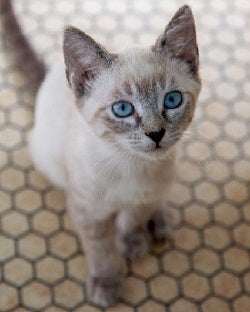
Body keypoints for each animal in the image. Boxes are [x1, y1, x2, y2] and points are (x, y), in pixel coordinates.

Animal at [0, 0, 201, 308]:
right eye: (122, 109)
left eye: (172, 100)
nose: (156, 134)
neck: (133, 167)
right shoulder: (88, 212)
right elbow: (101, 251)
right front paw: (107, 283)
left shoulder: (144, 194)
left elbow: (134, 218)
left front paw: (132, 243)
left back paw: (159, 221)